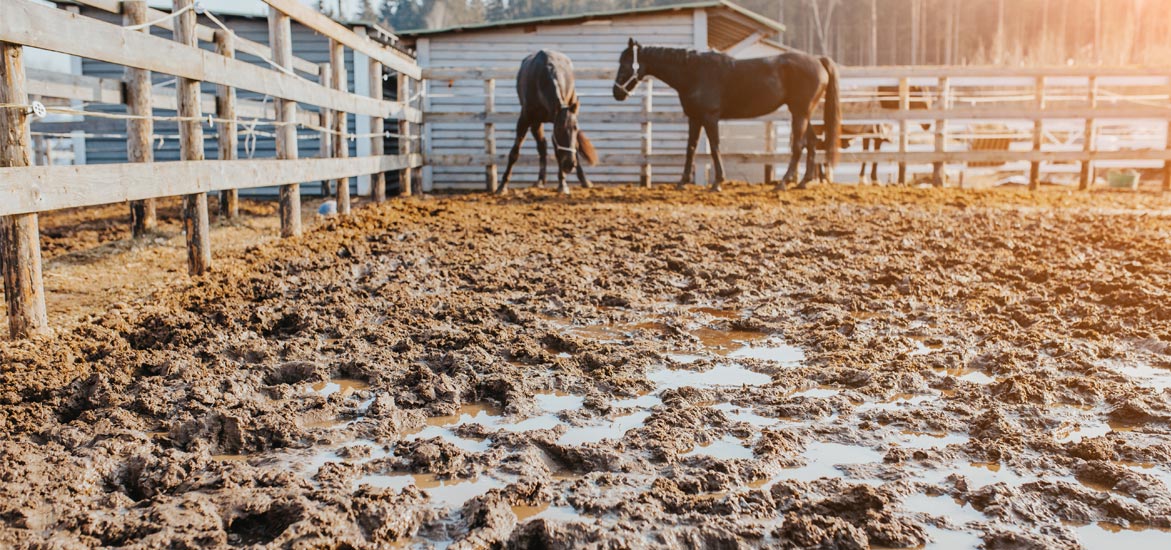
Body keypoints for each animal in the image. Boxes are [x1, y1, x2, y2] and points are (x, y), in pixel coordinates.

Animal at [498, 49, 599, 194]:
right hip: (536, 123)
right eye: (559, 129)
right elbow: (514, 152)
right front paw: (502, 185)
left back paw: (584, 180)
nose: (569, 164)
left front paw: (563, 184)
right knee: (542, 146)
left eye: (576, 128)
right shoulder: (525, 119)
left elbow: (560, 151)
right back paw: (541, 180)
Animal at [608, 37, 838, 189]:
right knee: (812, 142)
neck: (694, 72)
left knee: (799, 145)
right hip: (803, 113)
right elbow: (691, 148)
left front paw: (718, 182)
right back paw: (803, 182)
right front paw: (682, 182)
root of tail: (818, 60)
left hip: (799, 113)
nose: (617, 93)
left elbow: (714, 147)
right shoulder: (694, 117)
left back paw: (782, 183)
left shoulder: (710, 117)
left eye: (625, 64)